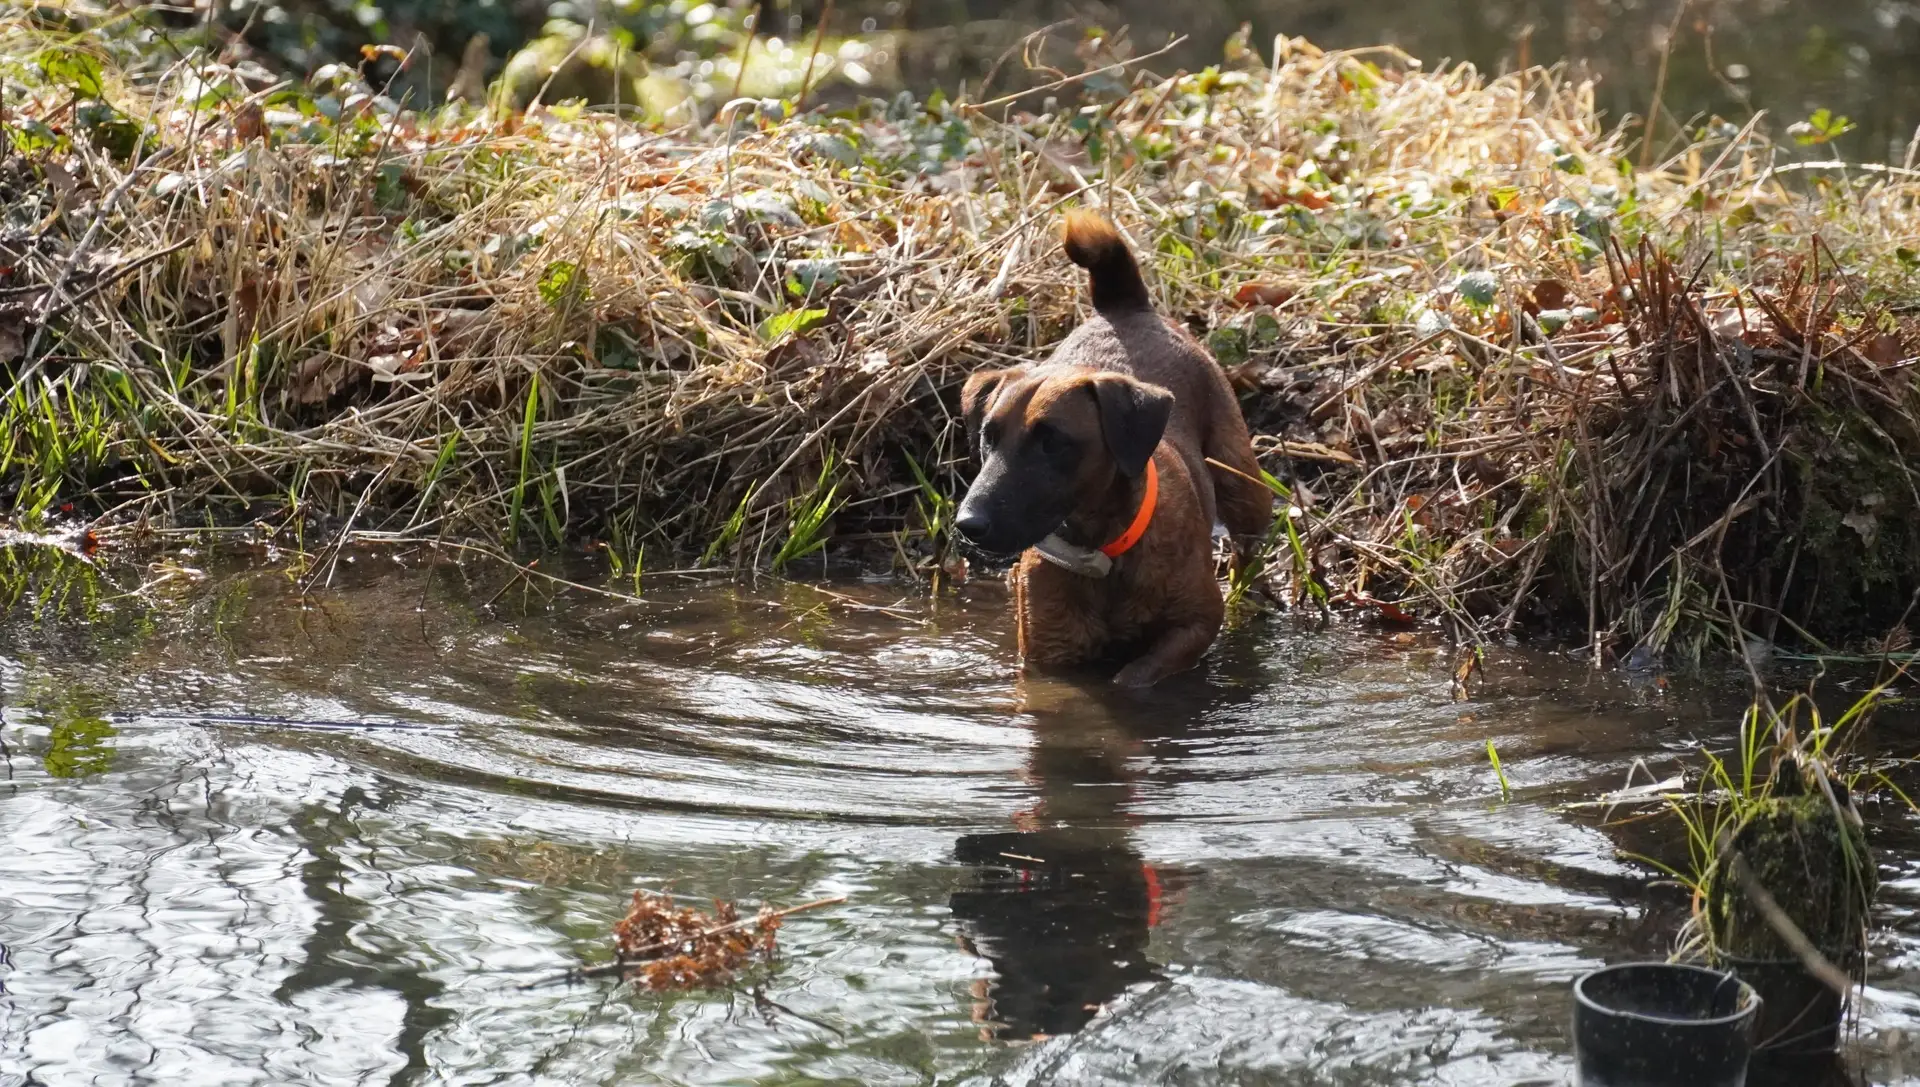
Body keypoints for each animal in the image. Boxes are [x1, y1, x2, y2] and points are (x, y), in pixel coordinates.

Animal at [953, 211, 1272, 686]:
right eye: (987, 437)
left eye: (1052, 442)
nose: (968, 524)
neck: (1102, 549)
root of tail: (1125, 306)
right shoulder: (1049, 657)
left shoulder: (1196, 622)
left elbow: (1136, 673)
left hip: (1244, 484)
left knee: (1247, 548)